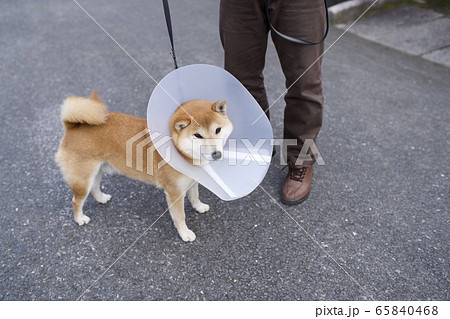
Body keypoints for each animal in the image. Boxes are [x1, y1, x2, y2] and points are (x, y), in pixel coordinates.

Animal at [54, 91, 234, 241]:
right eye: (198, 135)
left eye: (218, 130)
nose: (216, 154)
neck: (181, 153)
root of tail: (73, 126)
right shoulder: (174, 193)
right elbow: (180, 216)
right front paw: (185, 233)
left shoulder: (191, 180)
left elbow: (195, 195)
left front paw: (199, 206)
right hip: (83, 178)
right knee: (76, 200)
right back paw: (80, 218)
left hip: (97, 170)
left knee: (94, 187)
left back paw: (102, 198)